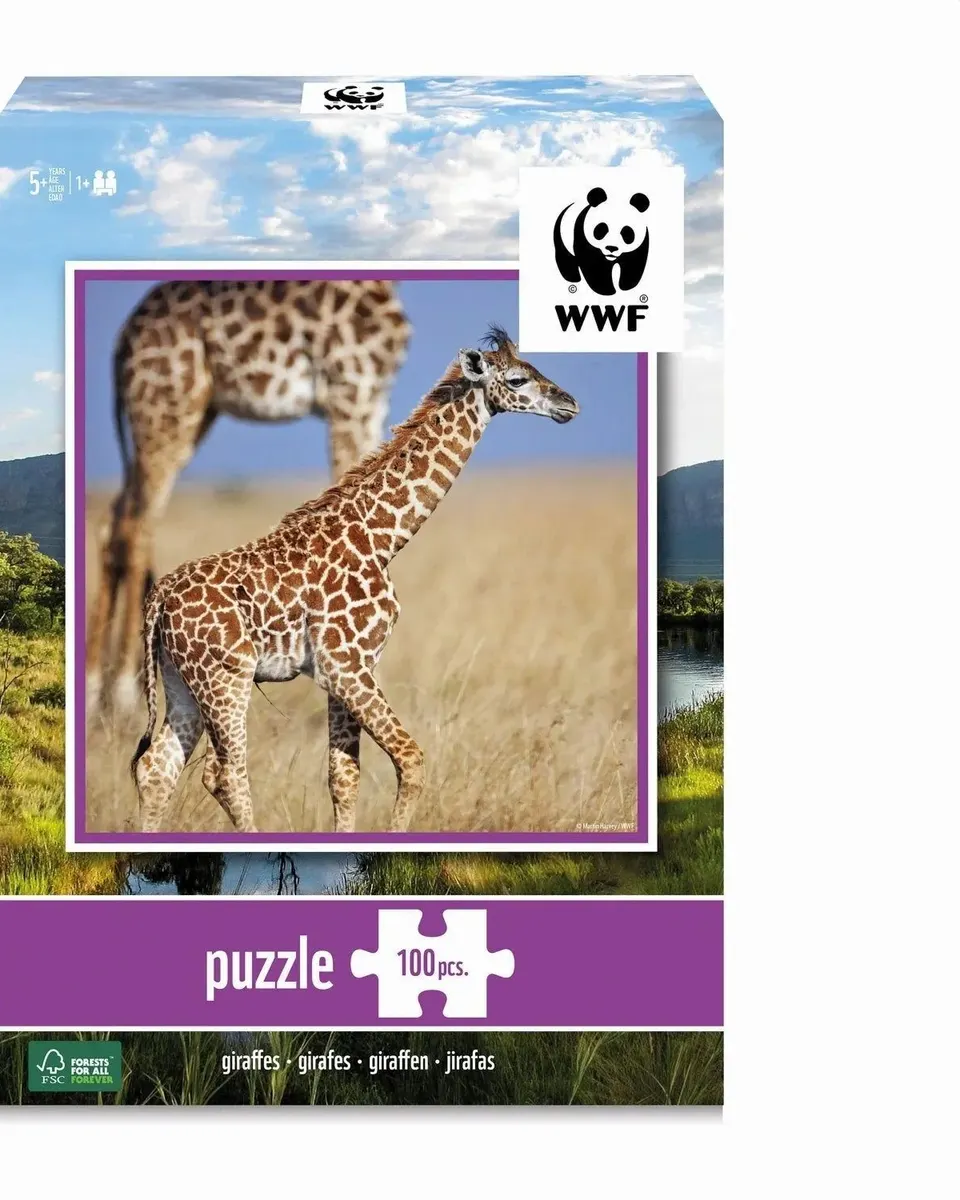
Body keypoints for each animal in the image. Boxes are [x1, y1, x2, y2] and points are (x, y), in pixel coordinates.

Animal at [86, 278, 410, 719]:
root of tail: (125, 337)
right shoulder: (350, 387)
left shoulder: (372, 396)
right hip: (167, 406)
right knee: (135, 526)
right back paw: (119, 694)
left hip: (187, 412)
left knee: (116, 521)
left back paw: (96, 691)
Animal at [130, 326, 580, 835]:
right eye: (519, 379)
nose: (569, 404)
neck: (383, 536)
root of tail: (158, 599)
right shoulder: (345, 665)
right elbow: (410, 758)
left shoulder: (351, 666)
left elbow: (343, 775)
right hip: (226, 676)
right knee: (222, 773)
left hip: (179, 679)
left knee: (157, 767)